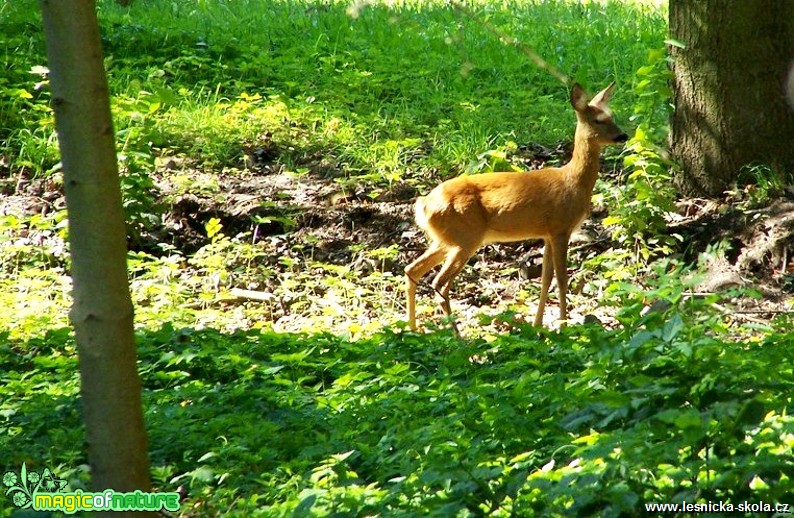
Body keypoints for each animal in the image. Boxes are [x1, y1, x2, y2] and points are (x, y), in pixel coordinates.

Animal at [406, 82, 628, 334]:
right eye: (598, 120)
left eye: (612, 116)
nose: (623, 135)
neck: (573, 181)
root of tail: (423, 205)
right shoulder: (561, 228)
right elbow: (562, 279)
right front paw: (563, 326)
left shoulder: (547, 233)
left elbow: (546, 278)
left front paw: (538, 325)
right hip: (466, 237)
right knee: (439, 282)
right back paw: (456, 335)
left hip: (447, 238)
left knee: (412, 269)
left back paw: (413, 330)